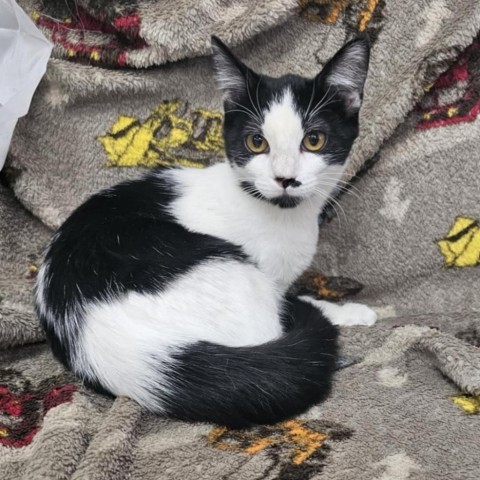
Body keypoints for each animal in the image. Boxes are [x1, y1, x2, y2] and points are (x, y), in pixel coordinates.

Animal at [35, 37, 376, 428]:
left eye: (315, 140)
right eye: (256, 143)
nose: (285, 178)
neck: (281, 216)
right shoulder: (271, 282)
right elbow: (291, 300)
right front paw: (348, 310)